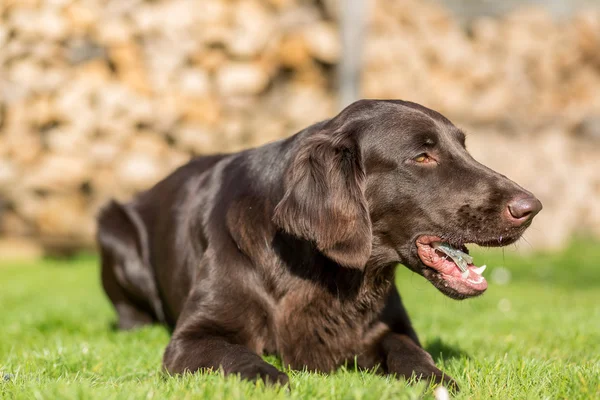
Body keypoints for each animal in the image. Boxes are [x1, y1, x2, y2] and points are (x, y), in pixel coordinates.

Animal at [95, 100, 544, 388]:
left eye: (463, 147)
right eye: (421, 157)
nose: (532, 207)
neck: (321, 270)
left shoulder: (388, 328)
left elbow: (413, 355)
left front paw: (438, 378)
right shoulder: (193, 338)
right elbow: (243, 360)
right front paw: (272, 377)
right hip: (113, 228)